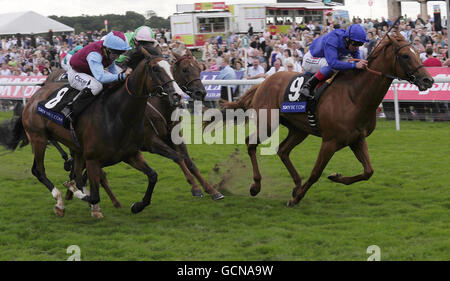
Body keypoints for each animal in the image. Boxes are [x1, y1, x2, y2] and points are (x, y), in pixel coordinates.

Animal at [0, 47, 183, 217]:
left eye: (172, 67)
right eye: (155, 69)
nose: (178, 95)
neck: (116, 114)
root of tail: (33, 98)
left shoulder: (130, 154)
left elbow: (153, 176)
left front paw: (137, 206)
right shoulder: (93, 159)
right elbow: (93, 195)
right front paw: (78, 194)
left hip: (73, 146)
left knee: (73, 172)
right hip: (38, 137)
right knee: (38, 170)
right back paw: (59, 201)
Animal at [220, 32, 434, 206]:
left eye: (417, 52)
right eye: (406, 55)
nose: (428, 80)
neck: (355, 95)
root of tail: (264, 82)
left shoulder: (357, 139)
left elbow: (368, 171)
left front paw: (335, 177)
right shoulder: (330, 141)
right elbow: (316, 173)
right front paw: (296, 199)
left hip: (299, 129)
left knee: (283, 150)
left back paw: (296, 184)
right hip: (268, 123)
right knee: (251, 144)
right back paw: (256, 186)